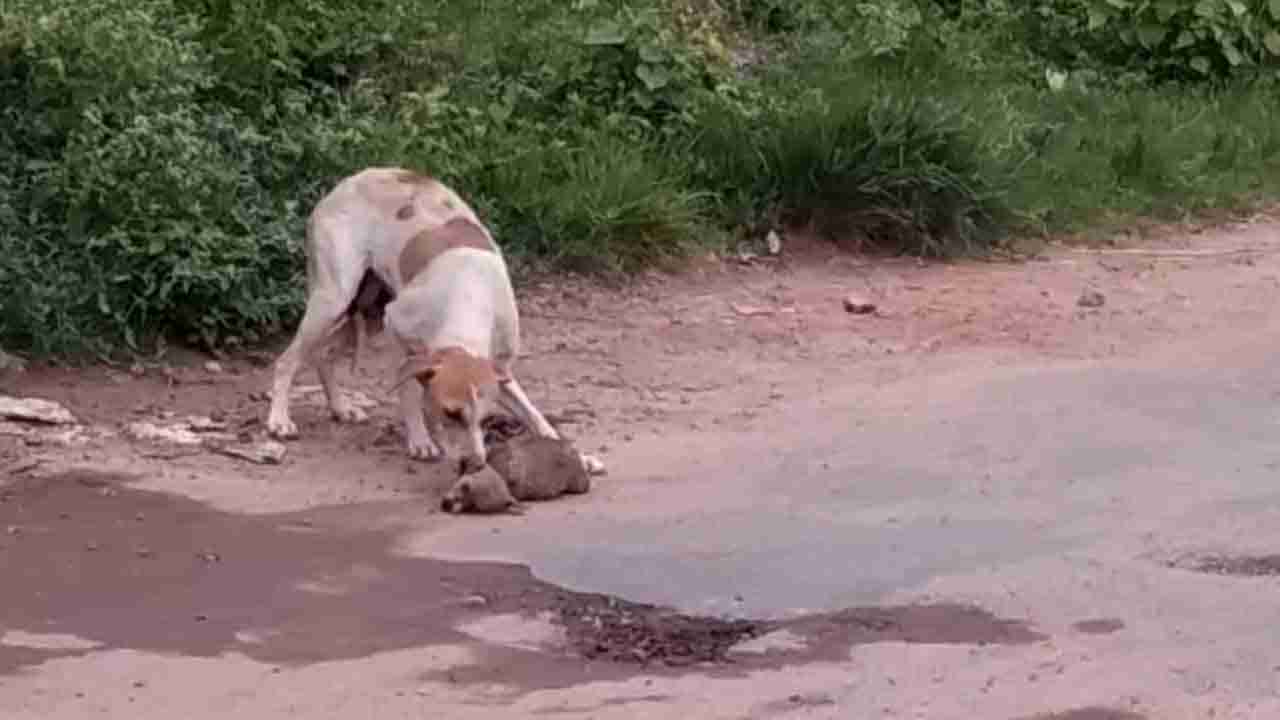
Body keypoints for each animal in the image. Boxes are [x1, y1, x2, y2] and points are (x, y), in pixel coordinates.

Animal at [266, 165, 560, 474]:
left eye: (485, 419)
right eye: (450, 414)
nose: (476, 464)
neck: (471, 298)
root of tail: (349, 181)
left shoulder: (500, 369)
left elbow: (533, 413)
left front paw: (559, 443)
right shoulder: (398, 329)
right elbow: (408, 393)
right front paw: (420, 440)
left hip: (358, 309)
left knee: (323, 356)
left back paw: (340, 407)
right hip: (332, 301)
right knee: (287, 361)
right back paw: (279, 420)